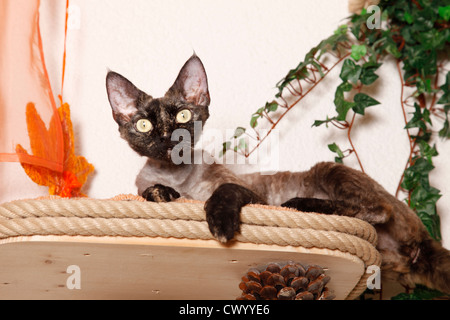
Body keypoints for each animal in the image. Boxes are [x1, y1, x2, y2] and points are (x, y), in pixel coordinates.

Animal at [106, 53, 450, 294]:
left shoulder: (251, 194)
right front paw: (163, 194)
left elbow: (223, 191)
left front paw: (220, 223)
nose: (168, 137)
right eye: (144, 125)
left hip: (328, 170)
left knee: (380, 209)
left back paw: (300, 204)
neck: (179, 176)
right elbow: (147, 191)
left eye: (183, 115)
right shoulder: (144, 186)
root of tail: (424, 243)